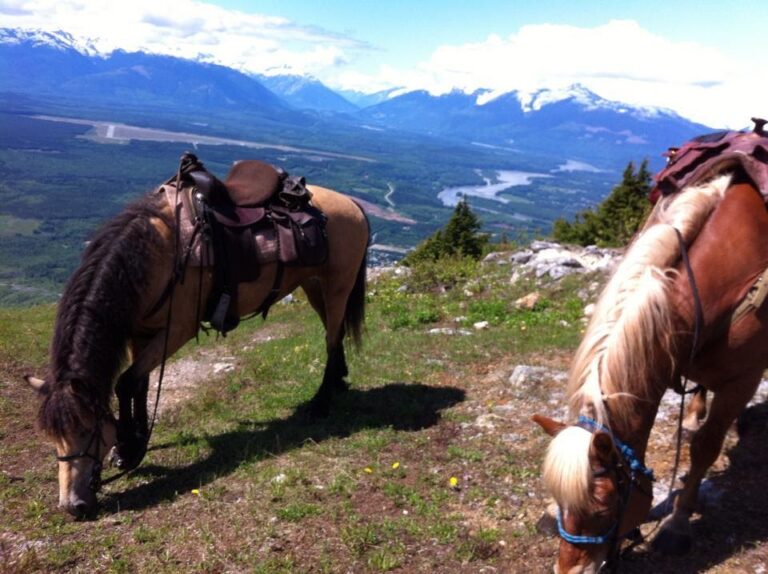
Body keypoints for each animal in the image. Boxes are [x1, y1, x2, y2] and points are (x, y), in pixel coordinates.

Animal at [24, 175, 369, 519]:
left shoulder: (177, 330)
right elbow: (139, 384)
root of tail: (352, 203)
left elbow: (127, 383)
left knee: (332, 338)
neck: (155, 255)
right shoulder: (140, 332)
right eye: (52, 436)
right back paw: (339, 380)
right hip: (313, 285)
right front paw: (133, 443)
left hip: (337, 286)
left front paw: (129, 448)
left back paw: (321, 403)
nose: (73, 506)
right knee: (334, 332)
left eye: (86, 430)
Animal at [534, 167, 768, 572]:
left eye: (604, 509)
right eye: (562, 503)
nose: (569, 570)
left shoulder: (744, 380)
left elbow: (706, 447)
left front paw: (677, 523)